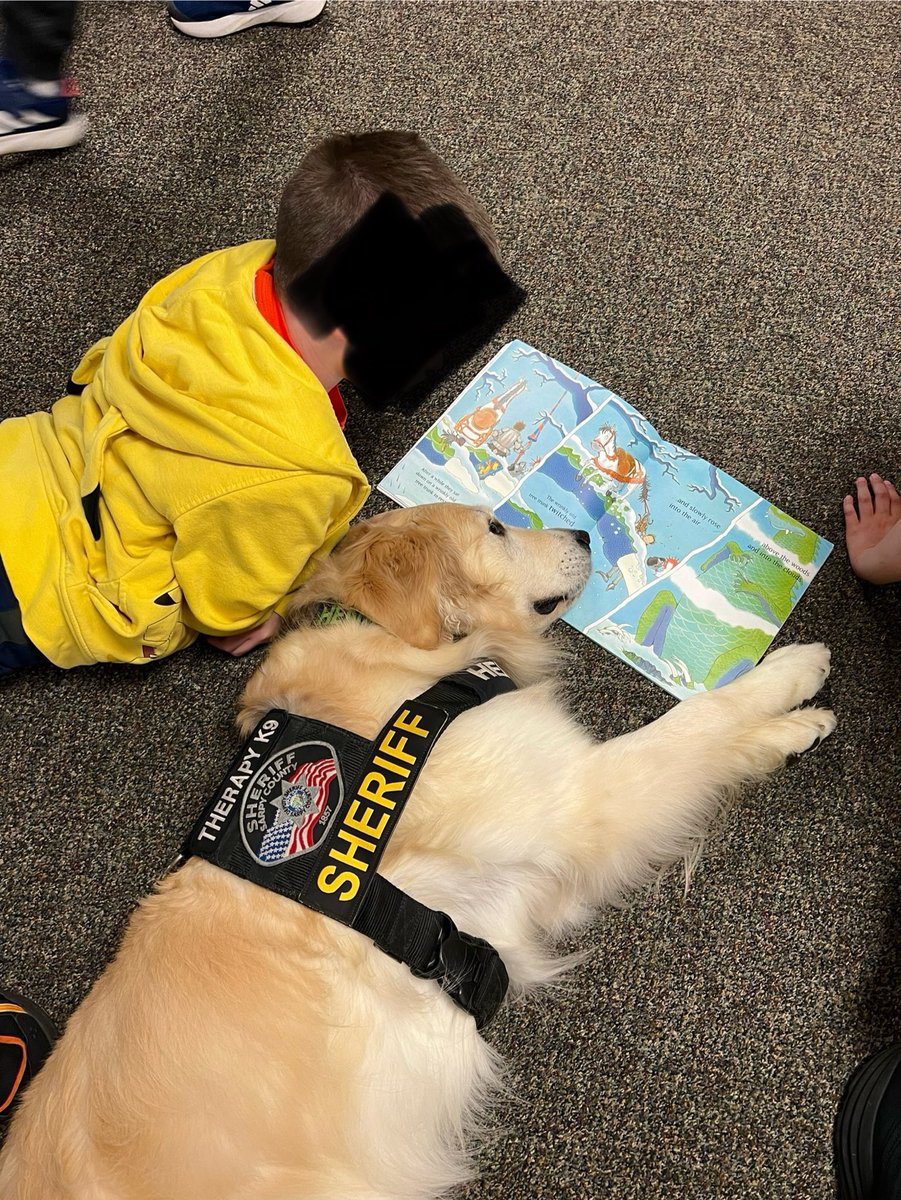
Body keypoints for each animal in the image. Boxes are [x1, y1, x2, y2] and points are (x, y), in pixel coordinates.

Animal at [0, 501, 839, 1200]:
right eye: (496, 528)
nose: (583, 533)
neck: (399, 657)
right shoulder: (580, 800)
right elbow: (693, 723)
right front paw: (791, 680)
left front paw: (785, 727)